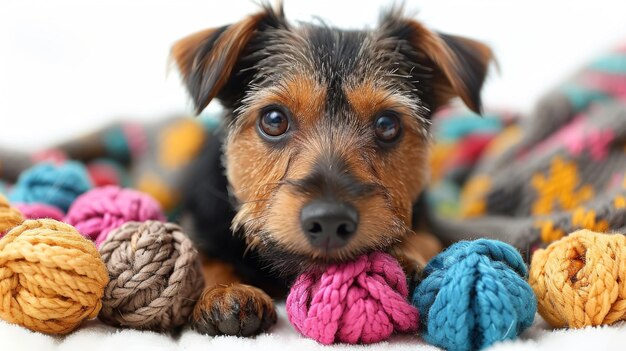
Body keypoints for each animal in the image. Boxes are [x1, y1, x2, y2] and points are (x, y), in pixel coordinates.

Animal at [172, 2, 492, 338]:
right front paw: (226, 291)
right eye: (274, 120)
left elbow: (428, 240)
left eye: (387, 125)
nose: (329, 221)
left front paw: (404, 257)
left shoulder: (427, 222)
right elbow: (201, 258)